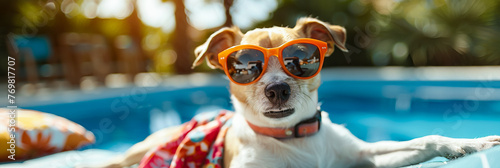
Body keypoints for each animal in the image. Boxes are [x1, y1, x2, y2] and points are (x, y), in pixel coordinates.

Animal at [98, 17, 500, 168]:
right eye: (245, 67)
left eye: (302, 59)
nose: (277, 89)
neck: (293, 139)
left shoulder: (362, 157)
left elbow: (425, 140)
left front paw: (467, 143)